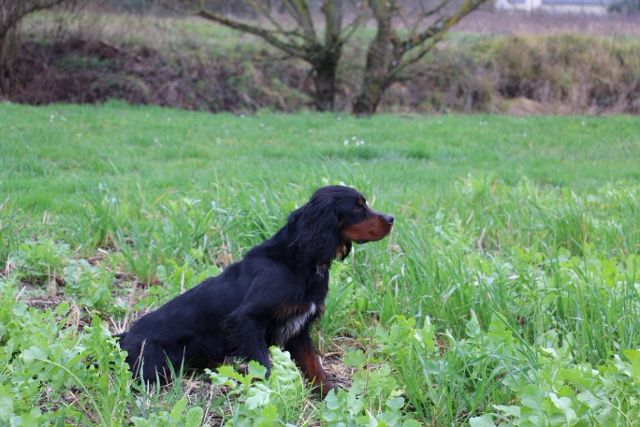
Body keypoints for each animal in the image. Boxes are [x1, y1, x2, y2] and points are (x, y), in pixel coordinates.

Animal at [117, 186, 392, 396]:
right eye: (357, 207)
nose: (391, 219)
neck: (299, 260)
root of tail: (125, 338)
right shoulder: (247, 322)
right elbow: (265, 365)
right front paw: (272, 395)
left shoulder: (298, 328)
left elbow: (314, 365)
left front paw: (330, 396)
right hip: (157, 365)